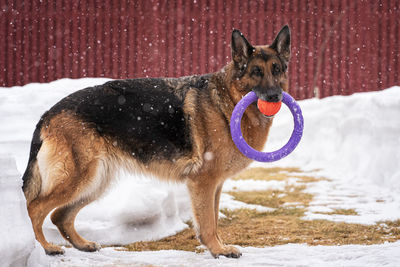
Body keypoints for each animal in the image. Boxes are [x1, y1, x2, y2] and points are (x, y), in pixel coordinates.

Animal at [22, 26, 290, 258]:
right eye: (256, 72)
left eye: (276, 69)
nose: (275, 96)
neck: (226, 102)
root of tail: (48, 114)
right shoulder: (203, 182)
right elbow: (208, 222)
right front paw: (217, 250)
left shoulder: (215, 184)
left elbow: (213, 218)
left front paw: (219, 247)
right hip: (79, 177)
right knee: (34, 208)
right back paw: (45, 248)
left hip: (95, 181)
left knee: (60, 215)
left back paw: (82, 244)